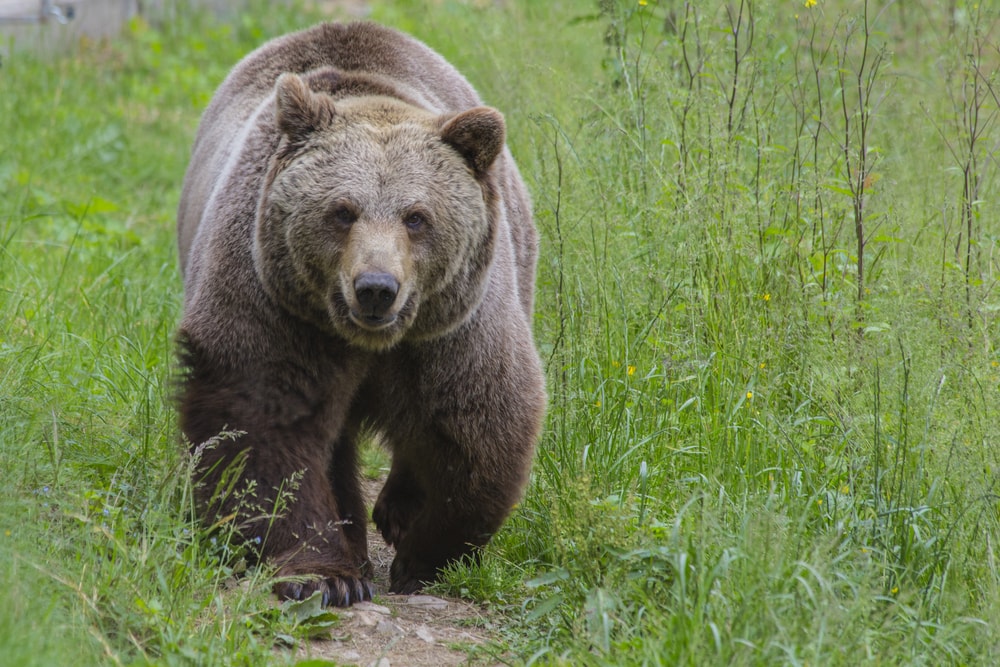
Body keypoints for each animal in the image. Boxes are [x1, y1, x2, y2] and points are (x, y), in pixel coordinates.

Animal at [175, 21, 546, 607]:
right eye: (342, 211)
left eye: (417, 217)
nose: (376, 288)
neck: (368, 341)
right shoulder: (275, 305)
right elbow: (265, 421)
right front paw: (327, 575)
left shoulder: (452, 326)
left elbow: (474, 419)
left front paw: (422, 556)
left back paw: (394, 510)